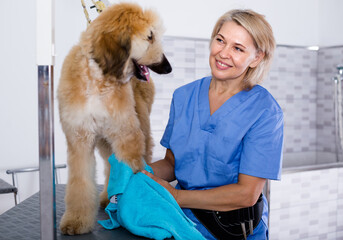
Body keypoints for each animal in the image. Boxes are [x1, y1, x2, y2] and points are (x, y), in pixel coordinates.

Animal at [58, 2, 175, 234]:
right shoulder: (79, 139)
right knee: (109, 165)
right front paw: (76, 220)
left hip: (137, 127)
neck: (98, 80)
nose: (168, 67)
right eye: (150, 36)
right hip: (105, 140)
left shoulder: (126, 134)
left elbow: (133, 170)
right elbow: (80, 181)